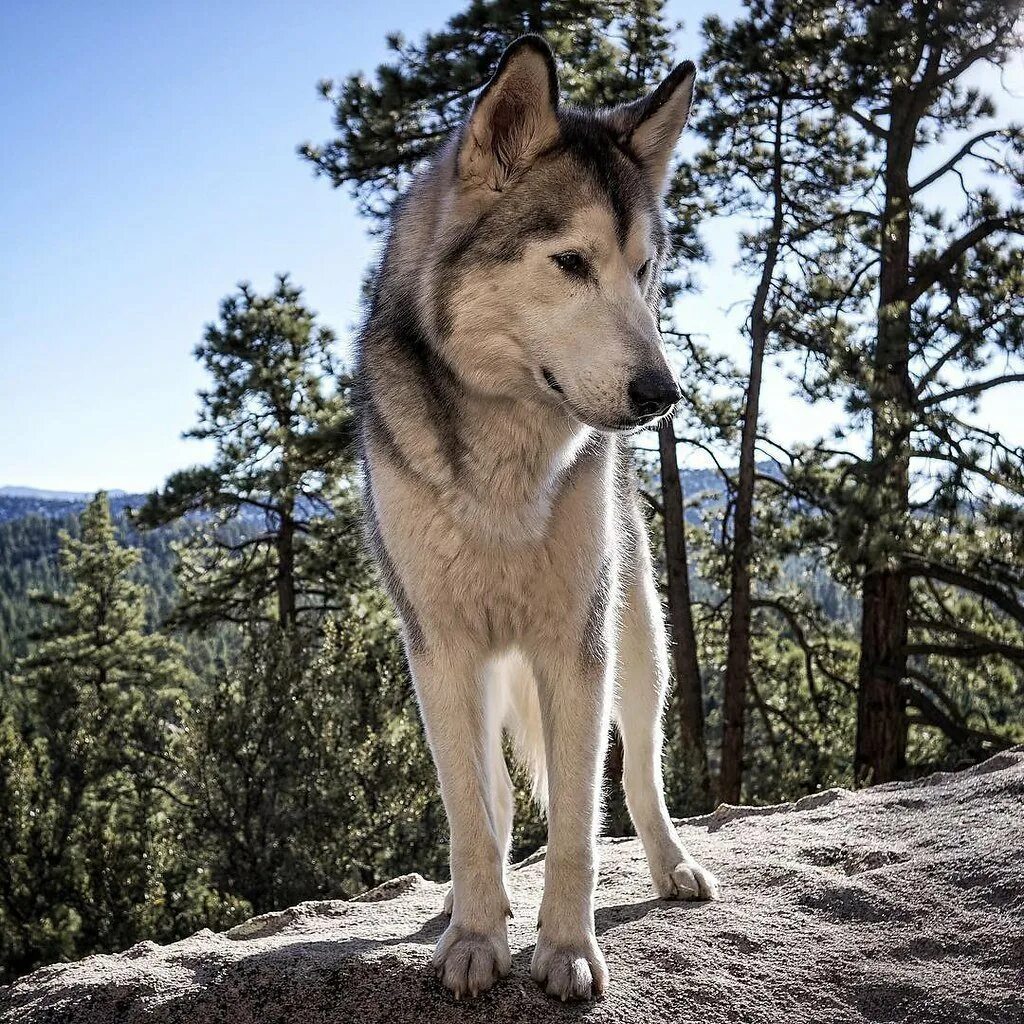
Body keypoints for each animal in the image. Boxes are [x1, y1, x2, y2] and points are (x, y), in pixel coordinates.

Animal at [356, 34, 716, 1007]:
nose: (662, 394)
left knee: (641, 777)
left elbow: (581, 830)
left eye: (644, 271)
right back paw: (463, 905)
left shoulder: (575, 649)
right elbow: (472, 817)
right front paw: (478, 938)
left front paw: (566, 953)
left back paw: (673, 865)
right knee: (494, 798)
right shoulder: (438, 651)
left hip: (641, 646)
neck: (505, 476)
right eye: (570, 263)